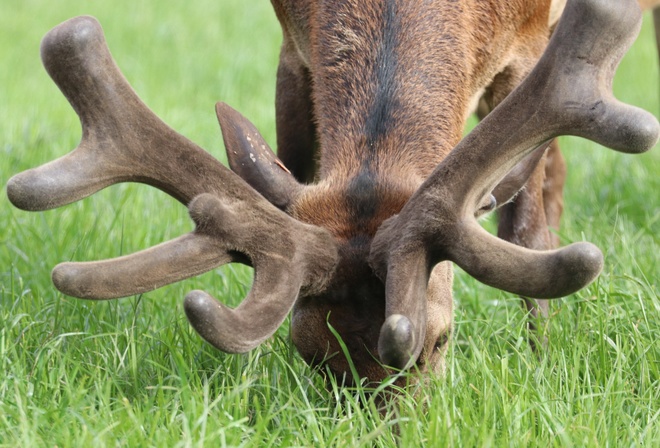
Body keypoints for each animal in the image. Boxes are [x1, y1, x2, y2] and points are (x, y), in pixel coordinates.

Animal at [6, 0, 660, 388]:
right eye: (309, 351)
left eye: (442, 339)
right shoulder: (291, 44)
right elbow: (292, 164)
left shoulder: (530, 44)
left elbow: (524, 227)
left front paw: (539, 361)